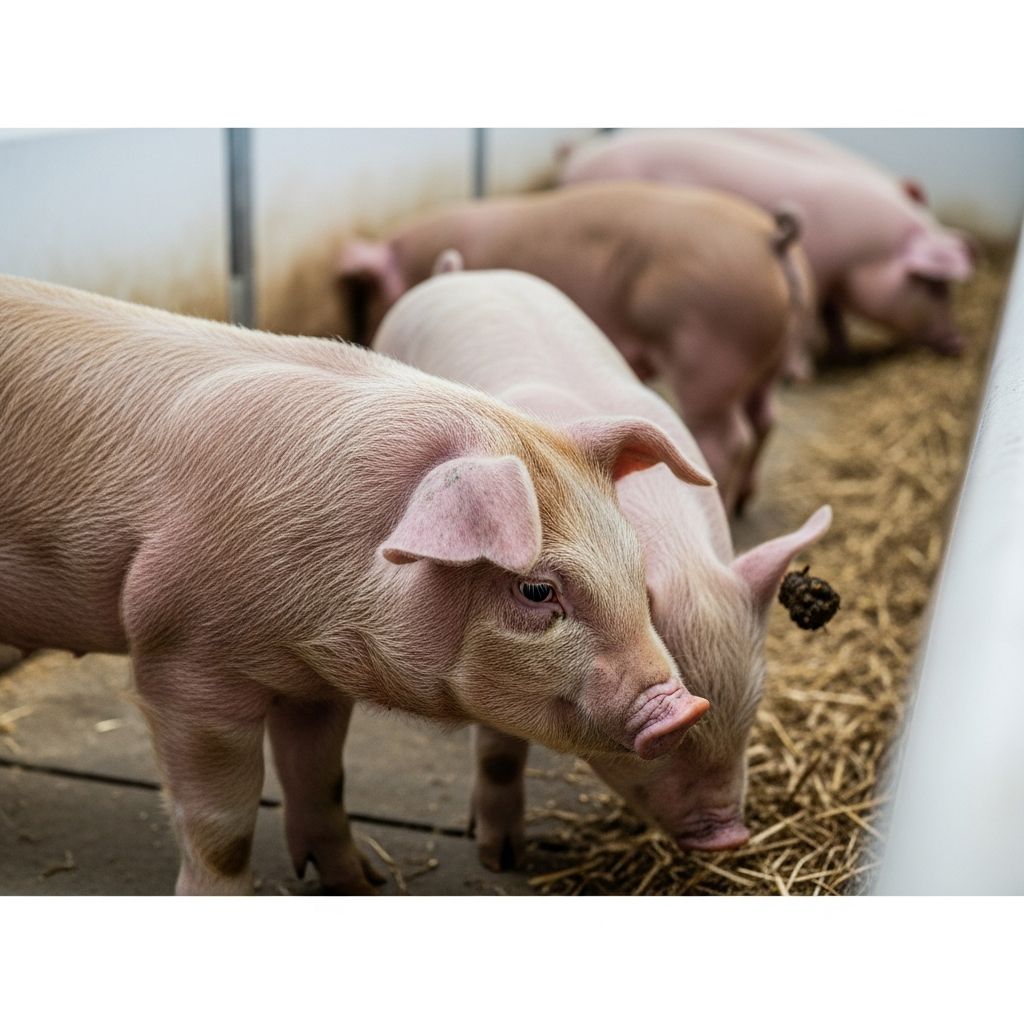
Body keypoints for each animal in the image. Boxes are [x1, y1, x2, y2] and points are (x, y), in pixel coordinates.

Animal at [0, 273, 715, 895]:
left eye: (632, 564)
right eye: (537, 591)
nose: (686, 706)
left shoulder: (311, 679)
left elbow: (323, 778)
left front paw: (361, 886)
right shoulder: (179, 657)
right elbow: (221, 825)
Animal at [337, 181, 815, 513]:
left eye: (369, 292)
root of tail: (773, 239)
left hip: (711, 356)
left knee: (730, 437)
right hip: (769, 357)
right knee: (765, 419)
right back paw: (744, 501)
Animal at [373, 259, 832, 868]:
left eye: (751, 711)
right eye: (665, 738)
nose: (729, 837)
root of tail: (457, 272)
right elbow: (498, 752)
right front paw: (502, 858)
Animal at [557, 128, 977, 360]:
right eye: (933, 284)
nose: (960, 343)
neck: (865, 253)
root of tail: (580, 158)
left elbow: (833, 318)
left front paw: (843, 353)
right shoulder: (814, 277)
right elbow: (806, 326)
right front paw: (804, 371)